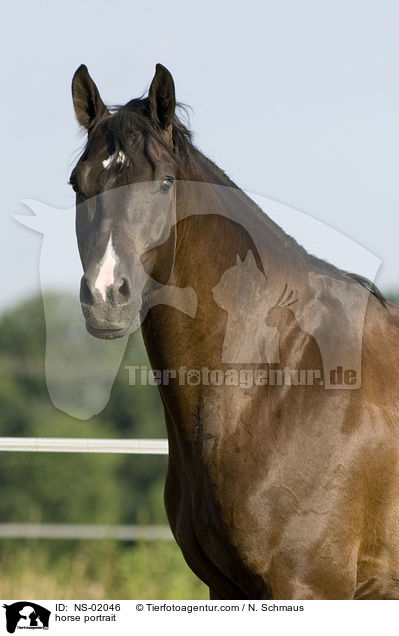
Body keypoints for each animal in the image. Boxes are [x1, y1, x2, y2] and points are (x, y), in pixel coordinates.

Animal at [69, 62, 399, 600]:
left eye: (164, 182)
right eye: (78, 184)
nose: (105, 297)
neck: (278, 379)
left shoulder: (310, 587)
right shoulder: (225, 588)